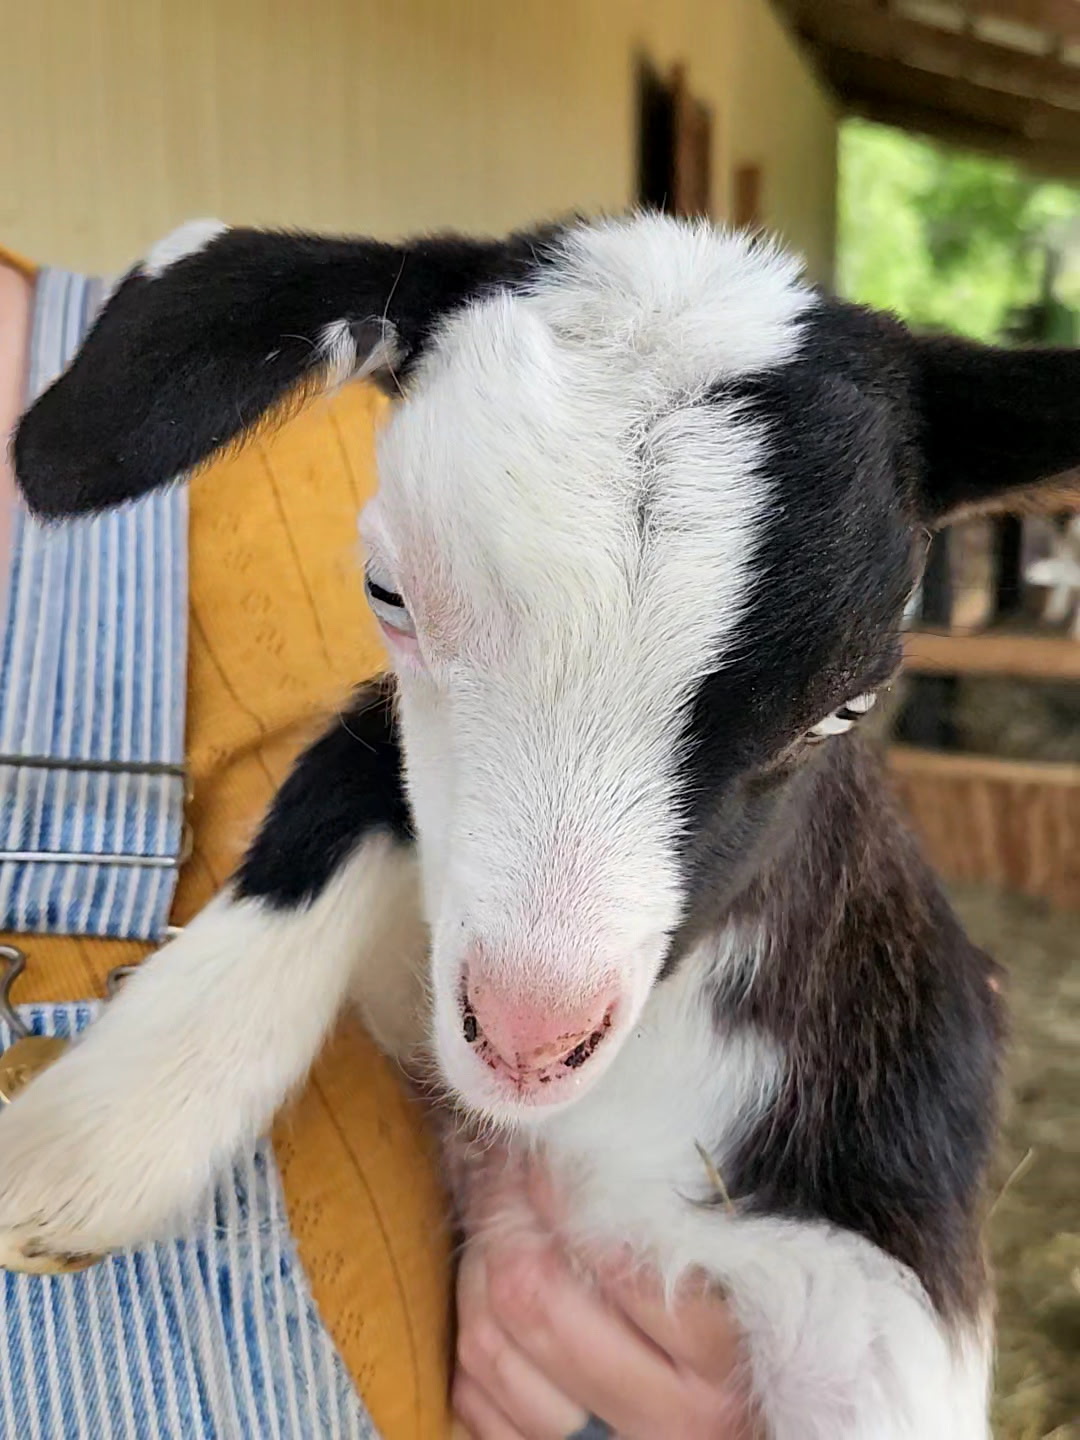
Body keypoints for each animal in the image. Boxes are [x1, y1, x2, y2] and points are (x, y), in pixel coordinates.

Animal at [6, 212, 1080, 1437]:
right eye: (386, 593)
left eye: (847, 707)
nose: (527, 1039)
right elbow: (347, 775)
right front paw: (94, 1143)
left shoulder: (881, 1219)